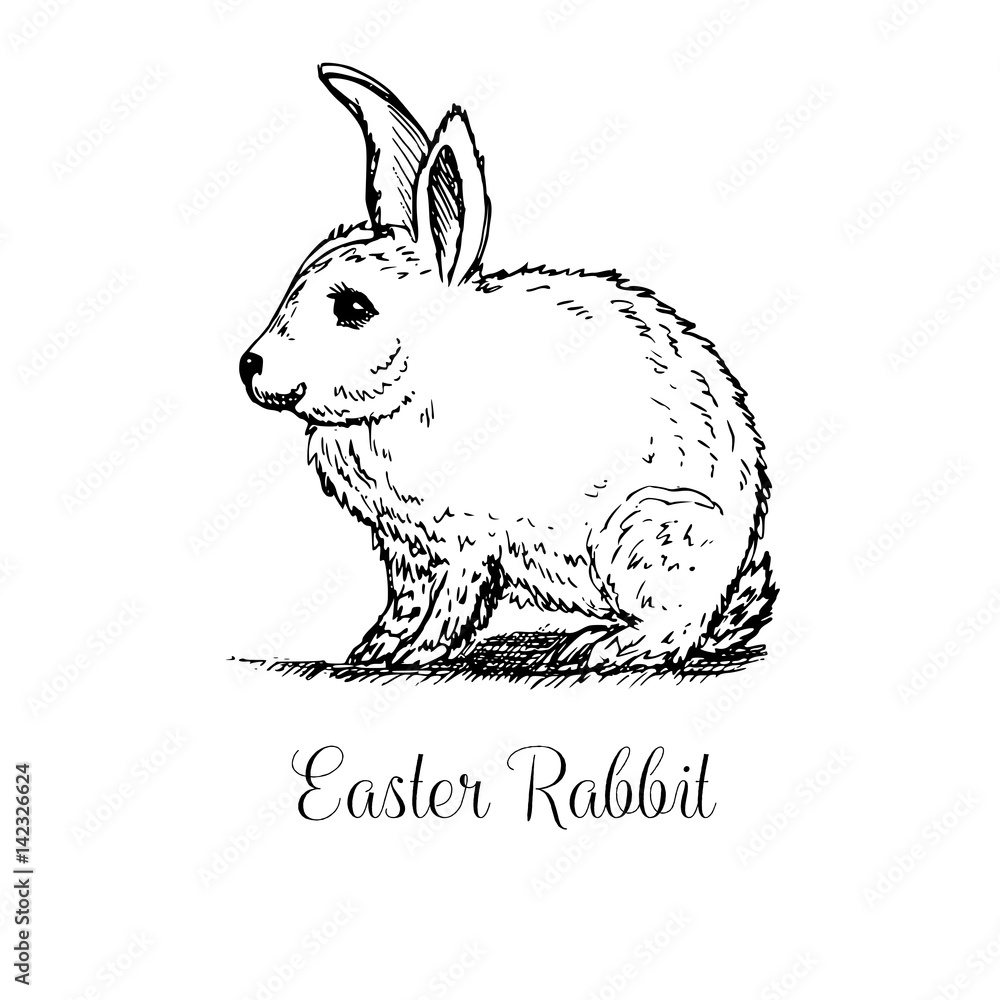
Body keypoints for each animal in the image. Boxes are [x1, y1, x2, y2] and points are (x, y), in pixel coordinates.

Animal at [239, 64, 775, 670]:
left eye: (354, 308)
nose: (249, 365)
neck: (424, 372)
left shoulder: (465, 540)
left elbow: (452, 600)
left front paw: (417, 652)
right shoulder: (407, 549)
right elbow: (406, 600)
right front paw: (376, 648)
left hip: (645, 532)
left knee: (673, 626)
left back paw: (603, 647)